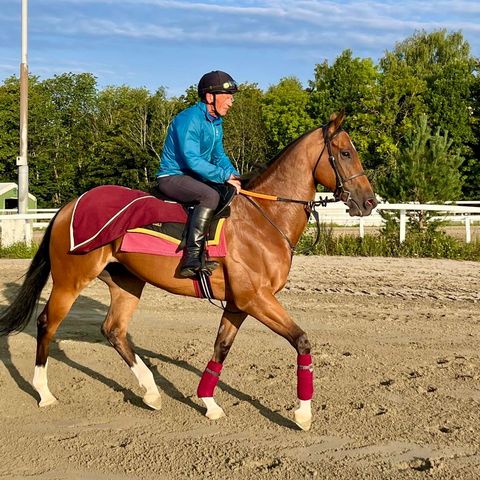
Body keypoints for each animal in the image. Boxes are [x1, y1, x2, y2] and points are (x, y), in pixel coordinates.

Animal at [0, 112, 376, 432]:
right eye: (345, 153)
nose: (369, 201)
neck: (263, 219)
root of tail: (69, 205)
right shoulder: (256, 299)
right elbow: (301, 341)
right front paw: (302, 414)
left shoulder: (238, 304)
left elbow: (220, 347)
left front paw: (209, 403)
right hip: (70, 280)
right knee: (47, 325)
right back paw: (44, 393)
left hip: (127, 283)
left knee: (114, 330)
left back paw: (151, 392)